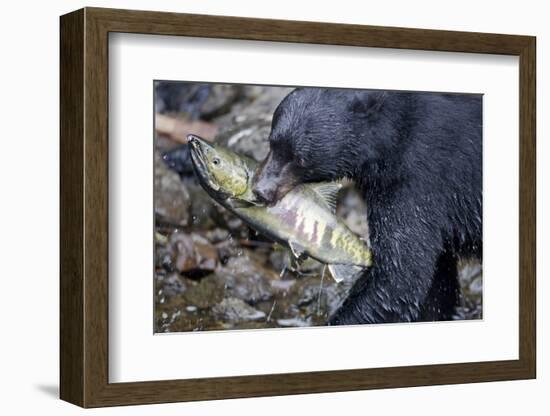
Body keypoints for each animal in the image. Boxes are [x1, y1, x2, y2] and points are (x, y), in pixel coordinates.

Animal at [254, 87, 484, 322]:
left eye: (300, 158)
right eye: (272, 143)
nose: (261, 190)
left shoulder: (418, 180)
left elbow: (399, 275)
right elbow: (436, 281)